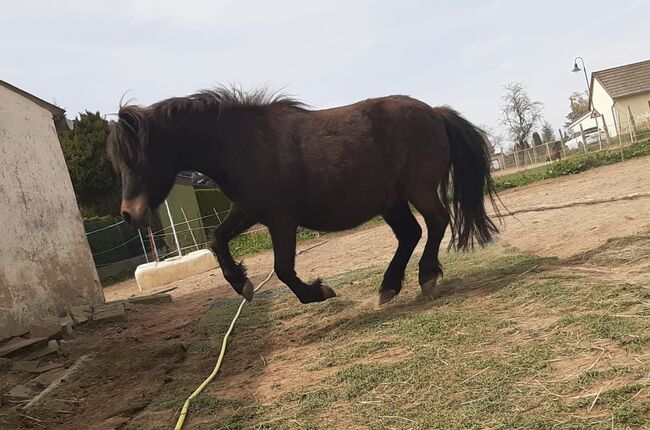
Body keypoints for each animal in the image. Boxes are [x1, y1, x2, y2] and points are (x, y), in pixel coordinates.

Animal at [109, 88, 498, 306]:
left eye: (137, 159)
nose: (129, 214)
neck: (246, 146)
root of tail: (436, 112)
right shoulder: (247, 210)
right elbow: (217, 240)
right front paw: (243, 284)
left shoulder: (281, 220)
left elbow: (282, 269)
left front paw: (318, 292)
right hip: (391, 201)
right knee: (410, 234)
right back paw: (388, 288)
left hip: (417, 189)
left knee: (436, 222)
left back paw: (426, 277)